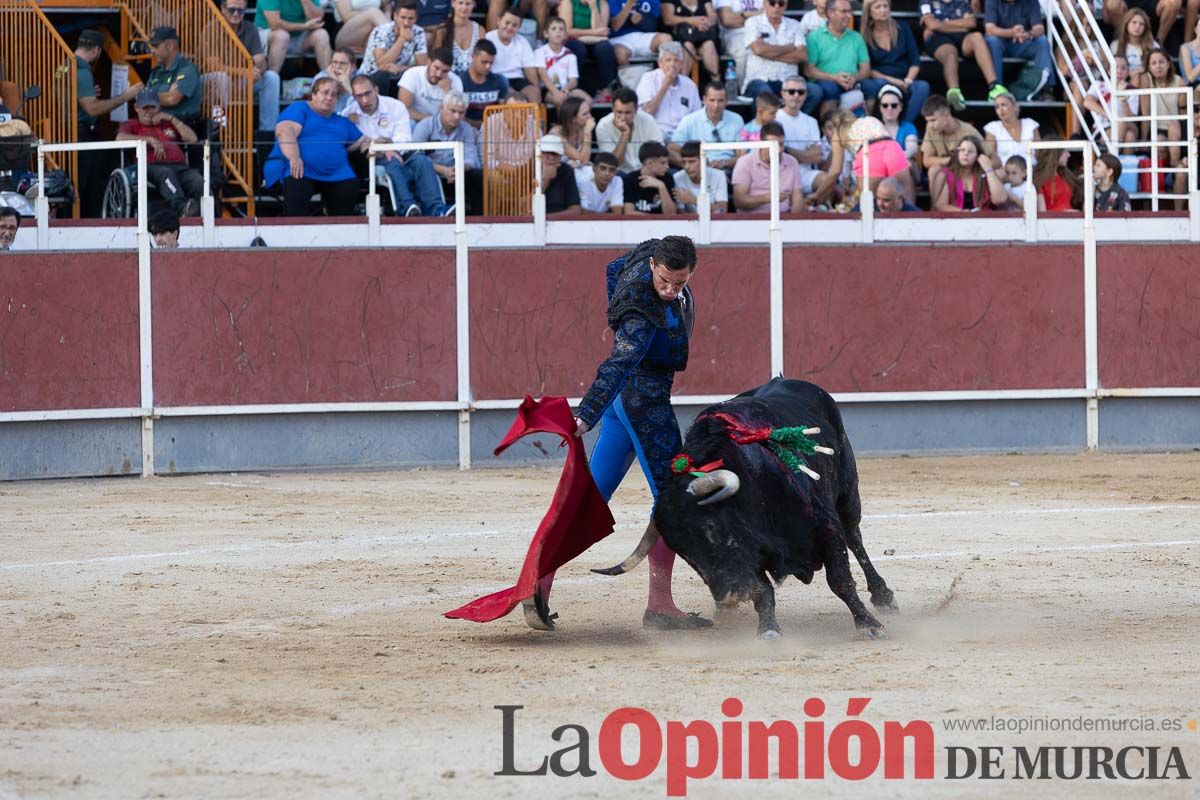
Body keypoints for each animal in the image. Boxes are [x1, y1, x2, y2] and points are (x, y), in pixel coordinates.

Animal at [595, 379, 897, 642]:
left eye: (711, 527)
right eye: (682, 552)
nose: (728, 596)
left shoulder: (827, 526)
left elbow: (840, 580)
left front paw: (869, 625)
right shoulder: (752, 555)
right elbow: (763, 591)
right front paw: (768, 630)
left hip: (848, 492)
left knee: (855, 538)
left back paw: (883, 595)